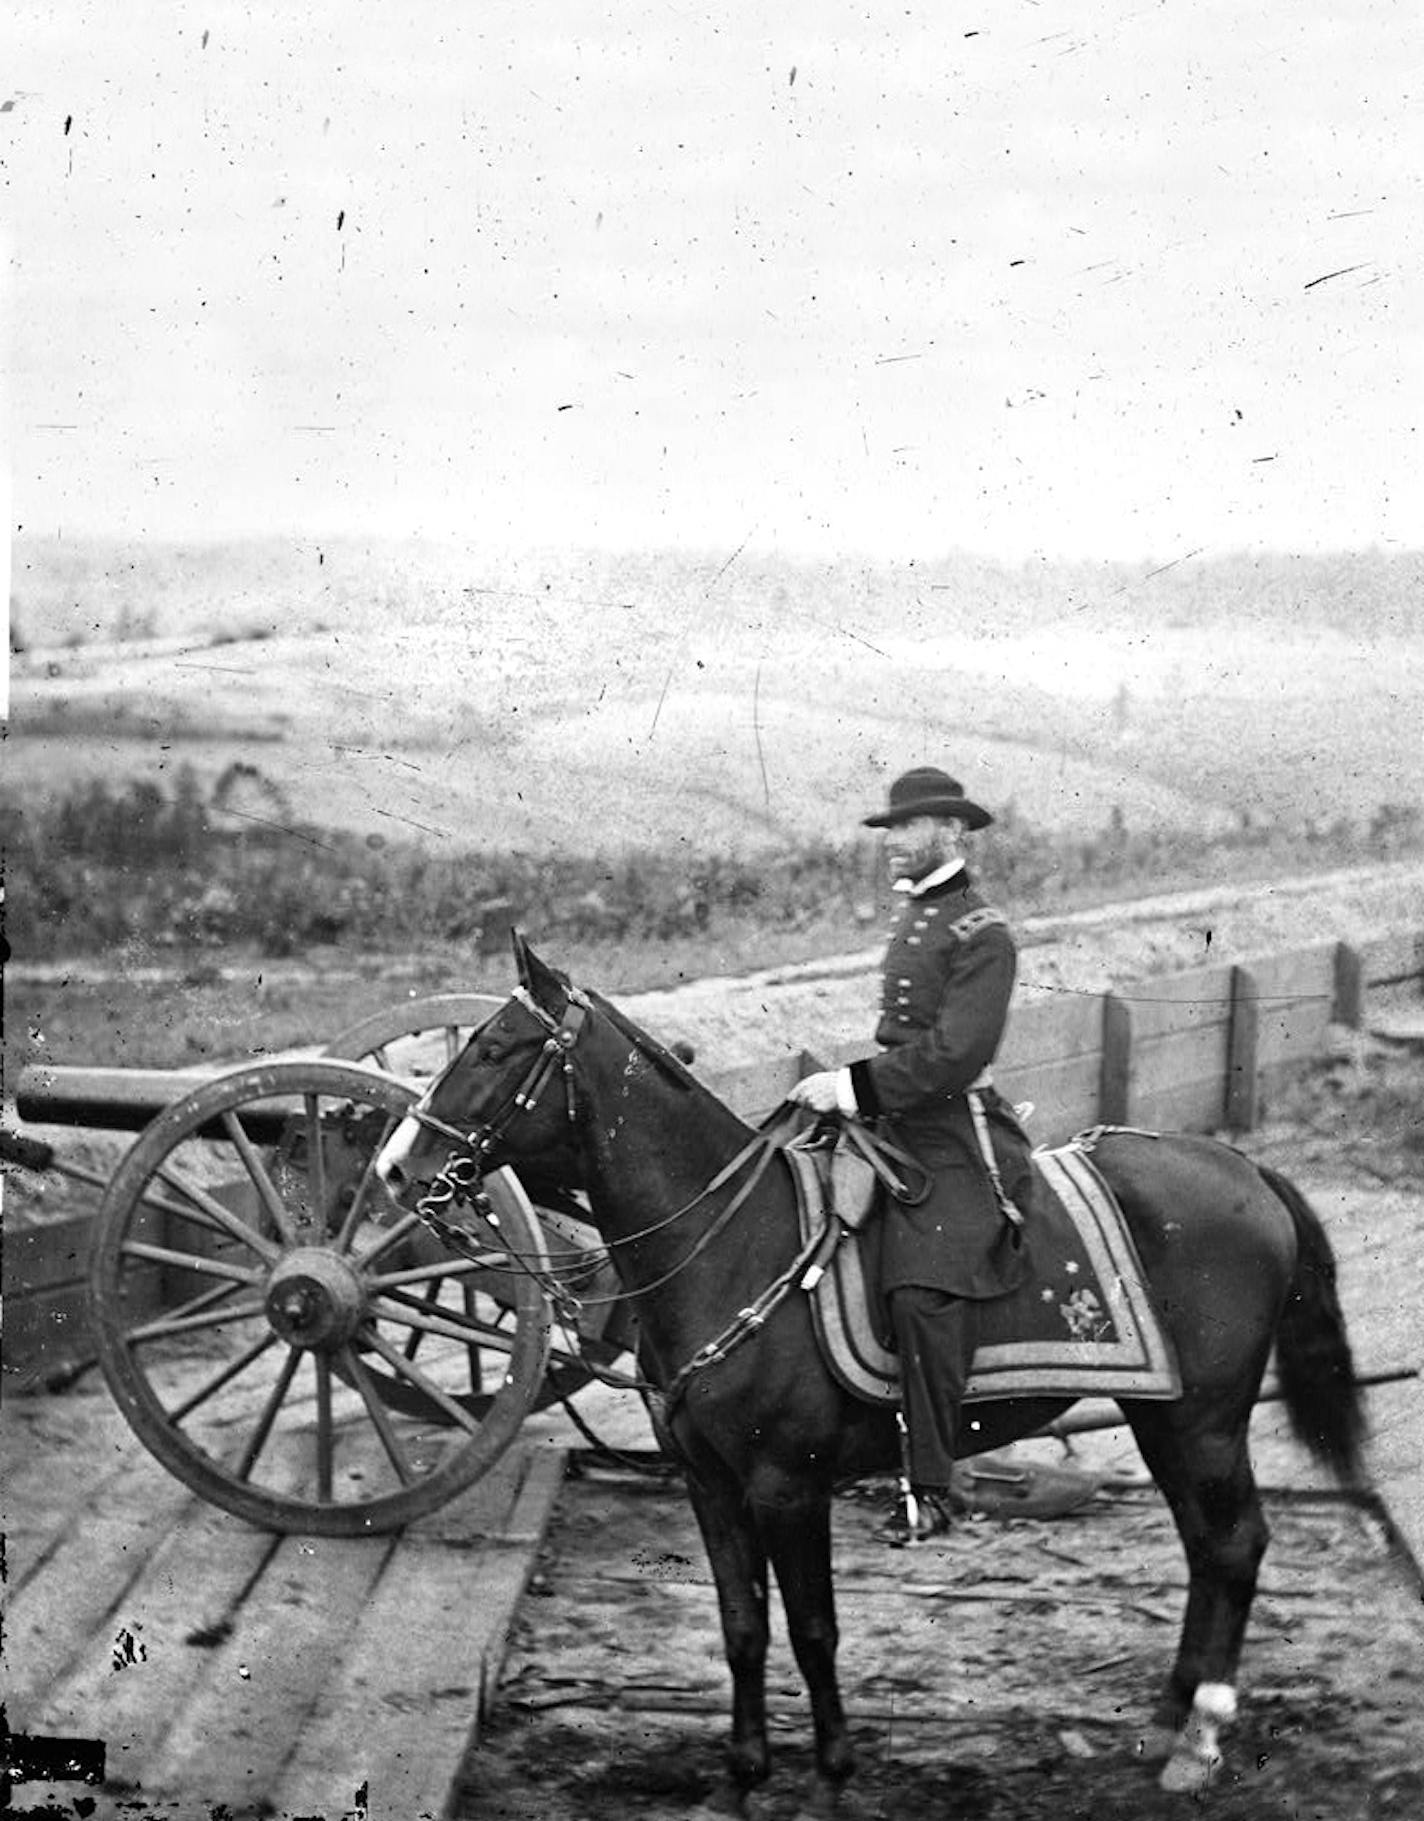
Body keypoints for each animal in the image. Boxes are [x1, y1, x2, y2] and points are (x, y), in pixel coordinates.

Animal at [373, 946, 1369, 1813]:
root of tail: (1244, 1167)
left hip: (1204, 1421)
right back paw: (1169, 1717)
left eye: (492, 1048)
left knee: (1234, 1543)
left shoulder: (787, 1486)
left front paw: (832, 1771)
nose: (393, 1165)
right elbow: (741, 1623)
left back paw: (1200, 1737)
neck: (735, 1245)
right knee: (1206, 1547)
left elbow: (813, 1630)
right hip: (1160, 1415)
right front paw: (744, 1773)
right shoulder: (709, 1483)